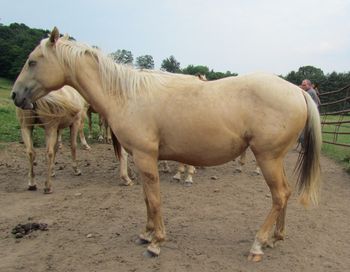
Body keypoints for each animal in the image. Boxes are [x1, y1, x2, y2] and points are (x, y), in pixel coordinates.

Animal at [11, 27, 322, 262]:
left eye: (33, 61)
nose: (15, 95)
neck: (126, 95)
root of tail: (297, 92)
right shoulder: (140, 159)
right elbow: (147, 199)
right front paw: (145, 233)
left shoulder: (145, 157)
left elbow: (155, 199)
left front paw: (156, 242)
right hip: (274, 159)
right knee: (285, 193)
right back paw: (275, 238)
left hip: (267, 158)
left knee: (279, 195)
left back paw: (258, 244)